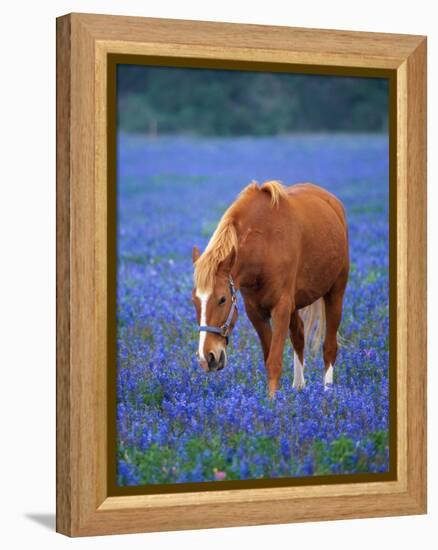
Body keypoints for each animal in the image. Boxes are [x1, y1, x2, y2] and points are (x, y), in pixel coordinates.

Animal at [192, 181, 350, 396]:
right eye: (194, 300)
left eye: (222, 299)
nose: (206, 358)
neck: (263, 246)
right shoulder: (256, 312)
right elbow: (269, 357)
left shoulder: (281, 308)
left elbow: (274, 362)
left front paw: (272, 402)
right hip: (295, 303)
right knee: (299, 335)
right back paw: (299, 387)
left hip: (335, 292)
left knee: (330, 347)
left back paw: (328, 393)